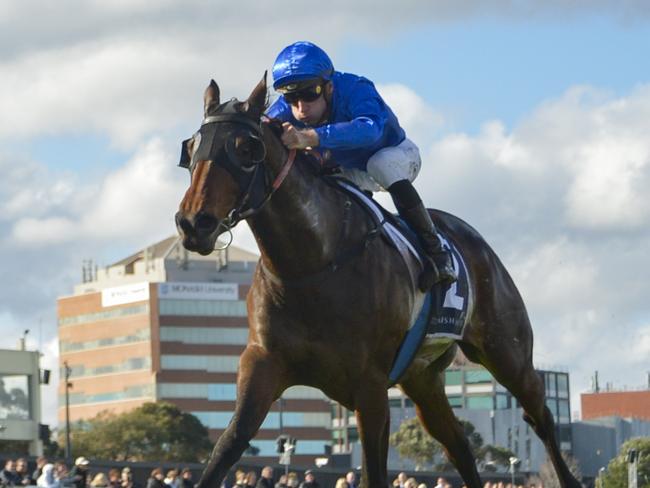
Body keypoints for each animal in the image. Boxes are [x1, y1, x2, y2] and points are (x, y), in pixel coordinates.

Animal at [175, 75, 580, 488]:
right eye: (190, 149)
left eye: (245, 148)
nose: (194, 223)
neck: (312, 263)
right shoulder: (263, 364)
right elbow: (227, 446)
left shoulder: (369, 387)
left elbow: (373, 470)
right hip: (423, 379)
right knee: (459, 446)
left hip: (506, 353)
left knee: (541, 416)